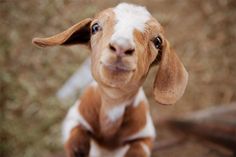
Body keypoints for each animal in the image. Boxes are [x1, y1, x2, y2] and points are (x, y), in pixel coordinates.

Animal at [32, 2, 188, 157]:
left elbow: (138, 149)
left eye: (157, 41)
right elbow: (75, 137)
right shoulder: (74, 116)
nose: (121, 46)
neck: (113, 102)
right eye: (95, 27)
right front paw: (79, 149)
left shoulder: (146, 134)